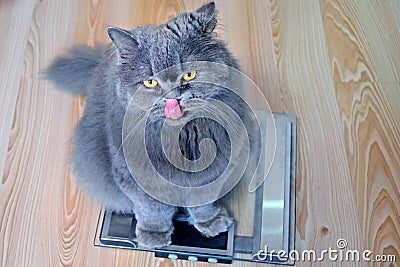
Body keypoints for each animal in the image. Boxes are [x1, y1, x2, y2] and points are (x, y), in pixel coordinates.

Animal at [44, 2, 260, 249]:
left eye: (189, 74)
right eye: (150, 82)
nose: (173, 99)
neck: (180, 140)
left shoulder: (213, 172)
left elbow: (203, 203)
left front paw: (211, 223)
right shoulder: (137, 179)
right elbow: (153, 210)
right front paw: (153, 237)